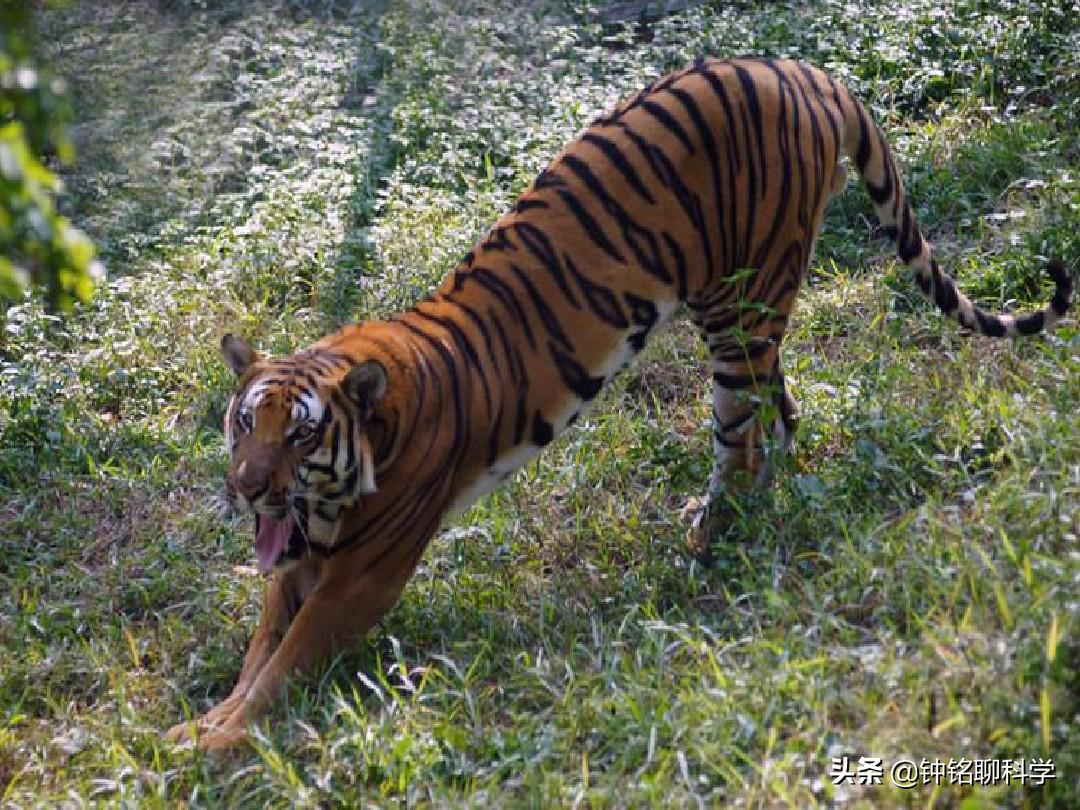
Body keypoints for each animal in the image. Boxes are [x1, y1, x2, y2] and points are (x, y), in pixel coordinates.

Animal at [168, 58, 1071, 756]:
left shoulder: (362, 572)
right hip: (742, 313)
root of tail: (803, 70)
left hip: (739, 311)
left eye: (301, 436)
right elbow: (258, 652)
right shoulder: (299, 558)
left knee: (742, 436)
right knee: (781, 413)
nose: (247, 488)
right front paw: (205, 723)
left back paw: (715, 534)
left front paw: (216, 742)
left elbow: (285, 663)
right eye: (245, 424)